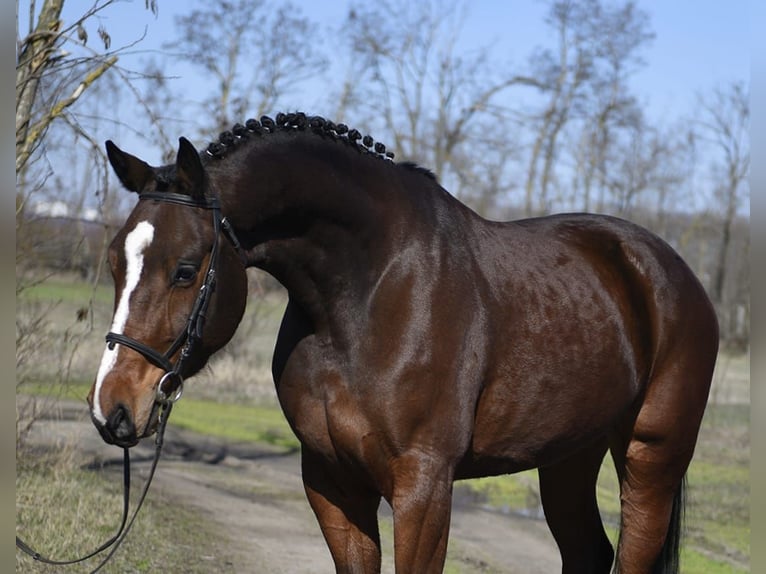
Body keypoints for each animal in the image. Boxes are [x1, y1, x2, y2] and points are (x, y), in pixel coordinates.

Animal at [87, 112, 718, 574]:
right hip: (567, 457)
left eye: (185, 270)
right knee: (587, 551)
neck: (366, 297)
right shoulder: (332, 482)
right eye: (116, 261)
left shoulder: (423, 488)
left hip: (651, 458)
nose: (111, 407)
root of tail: (672, 274)